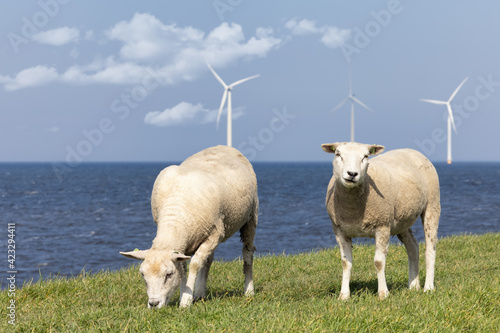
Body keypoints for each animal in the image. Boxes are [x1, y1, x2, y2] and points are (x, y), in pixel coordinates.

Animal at [120, 145, 258, 306]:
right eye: (143, 274)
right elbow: (184, 267)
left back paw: (249, 290)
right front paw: (185, 294)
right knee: (208, 260)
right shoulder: (184, 245)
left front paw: (185, 301)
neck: (175, 214)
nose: (153, 304)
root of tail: (223, 147)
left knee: (247, 252)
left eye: (168, 274)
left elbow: (194, 264)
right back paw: (199, 293)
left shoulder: (215, 234)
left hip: (251, 216)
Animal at [320, 141, 442, 300]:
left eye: (366, 156)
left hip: (432, 205)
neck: (353, 210)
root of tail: (413, 151)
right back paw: (413, 285)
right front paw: (344, 295)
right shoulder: (339, 230)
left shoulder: (382, 225)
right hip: (401, 221)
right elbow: (346, 263)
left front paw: (383, 293)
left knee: (430, 248)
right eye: (338, 154)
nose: (352, 174)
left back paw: (428, 287)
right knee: (413, 247)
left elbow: (378, 262)